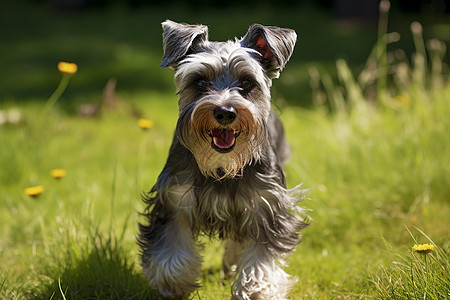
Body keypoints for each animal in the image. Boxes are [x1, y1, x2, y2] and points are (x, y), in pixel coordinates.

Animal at [139, 19, 308, 298]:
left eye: (247, 82)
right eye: (200, 81)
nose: (225, 112)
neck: (221, 168)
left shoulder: (265, 207)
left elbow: (261, 259)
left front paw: (256, 290)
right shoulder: (175, 199)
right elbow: (172, 247)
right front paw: (173, 284)